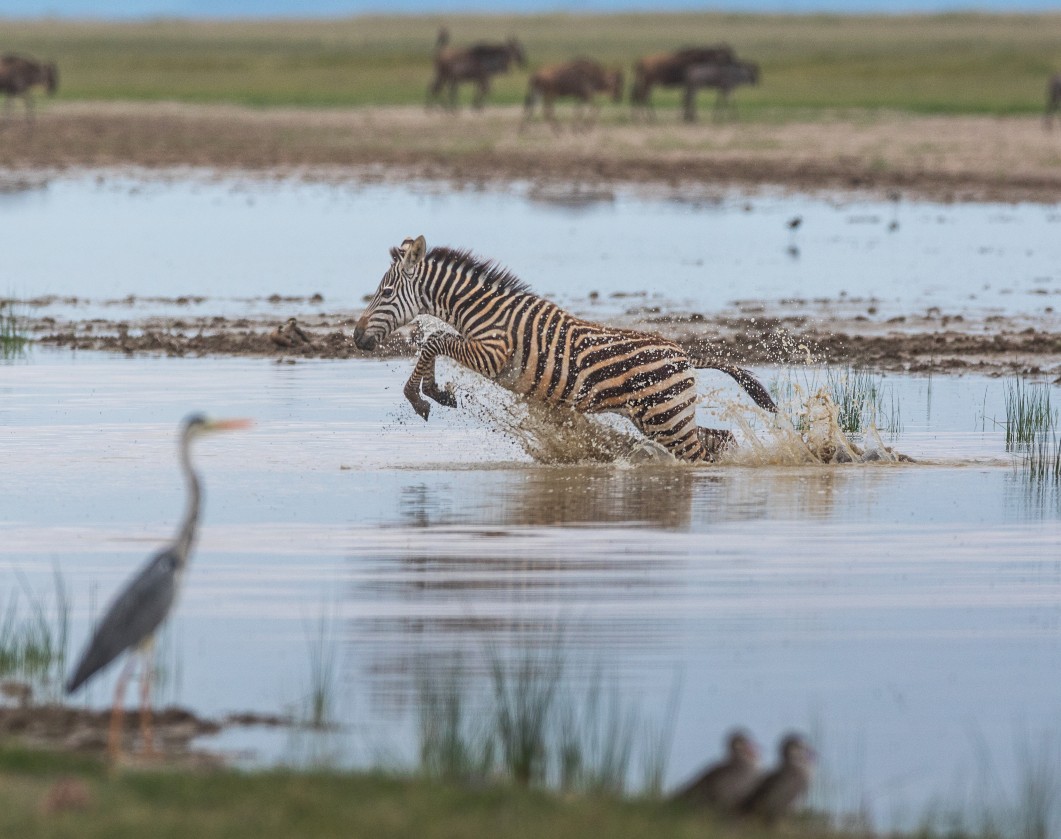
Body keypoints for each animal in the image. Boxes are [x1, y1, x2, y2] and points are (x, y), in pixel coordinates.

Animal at [352, 236, 776, 462]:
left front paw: (421, 396)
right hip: (662, 418)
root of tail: (686, 355)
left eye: (385, 293)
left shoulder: (494, 354)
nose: (356, 338)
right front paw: (436, 391)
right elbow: (434, 343)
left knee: (701, 454)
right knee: (720, 439)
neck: (480, 308)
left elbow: (434, 341)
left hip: (666, 418)